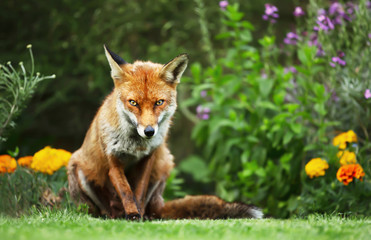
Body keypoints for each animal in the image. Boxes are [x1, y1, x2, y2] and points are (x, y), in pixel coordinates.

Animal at [67, 44, 264, 219]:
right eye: (133, 103)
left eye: (159, 102)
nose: (149, 131)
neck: (136, 145)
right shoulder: (113, 162)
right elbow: (126, 192)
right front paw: (132, 214)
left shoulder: (148, 159)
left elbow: (138, 192)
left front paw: (138, 215)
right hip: (78, 167)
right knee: (106, 209)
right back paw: (115, 215)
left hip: (164, 164)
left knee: (153, 209)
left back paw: (148, 216)